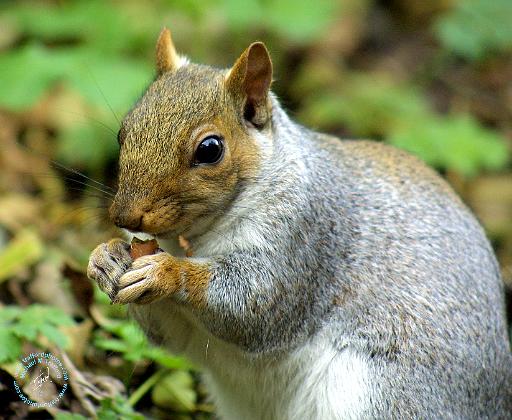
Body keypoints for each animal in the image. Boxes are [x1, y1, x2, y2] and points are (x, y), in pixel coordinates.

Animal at [89, 27, 512, 418]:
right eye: (123, 132)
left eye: (210, 149)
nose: (124, 215)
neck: (195, 238)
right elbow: (169, 336)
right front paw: (105, 258)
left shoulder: (306, 239)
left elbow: (254, 305)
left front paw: (166, 272)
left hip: (382, 392)